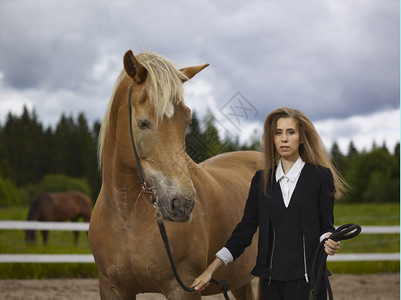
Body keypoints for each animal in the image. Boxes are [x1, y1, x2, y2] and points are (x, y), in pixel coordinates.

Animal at [88, 51, 260, 300]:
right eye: (142, 122)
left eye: (186, 120)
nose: (183, 203)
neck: (126, 215)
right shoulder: (112, 288)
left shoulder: (182, 287)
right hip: (240, 280)